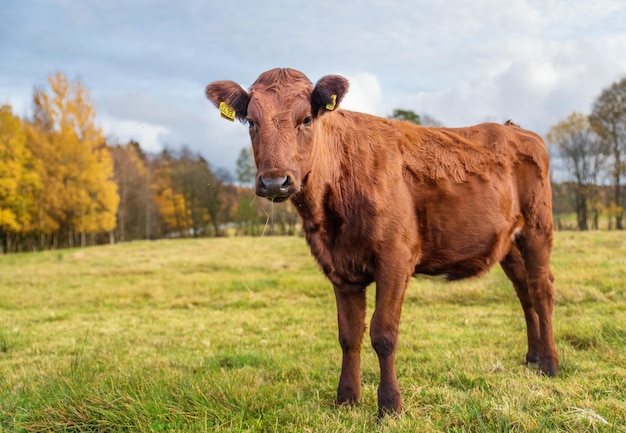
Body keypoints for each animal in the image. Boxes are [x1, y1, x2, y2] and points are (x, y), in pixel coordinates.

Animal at [205, 67, 556, 416]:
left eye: (305, 119)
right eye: (252, 121)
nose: (274, 181)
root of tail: (515, 129)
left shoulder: (395, 259)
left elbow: (383, 333)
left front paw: (389, 405)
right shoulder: (340, 268)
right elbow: (349, 335)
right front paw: (346, 398)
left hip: (538, 228)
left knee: (541, 290)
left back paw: (549, 363)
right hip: (509, 243)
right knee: (524, 291)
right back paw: (532, 357)